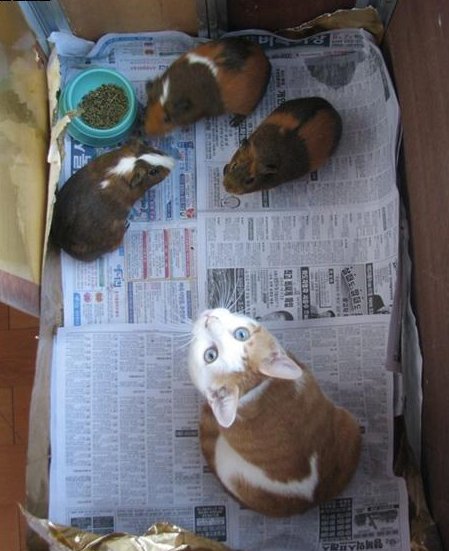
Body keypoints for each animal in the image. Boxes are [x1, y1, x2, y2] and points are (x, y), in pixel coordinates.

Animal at [188, 308, 361, 517]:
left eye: (241, 334)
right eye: (211, 355)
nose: (209, 318)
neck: (256, 386)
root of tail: (311, 501)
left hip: (228, 468)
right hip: (350, 423)